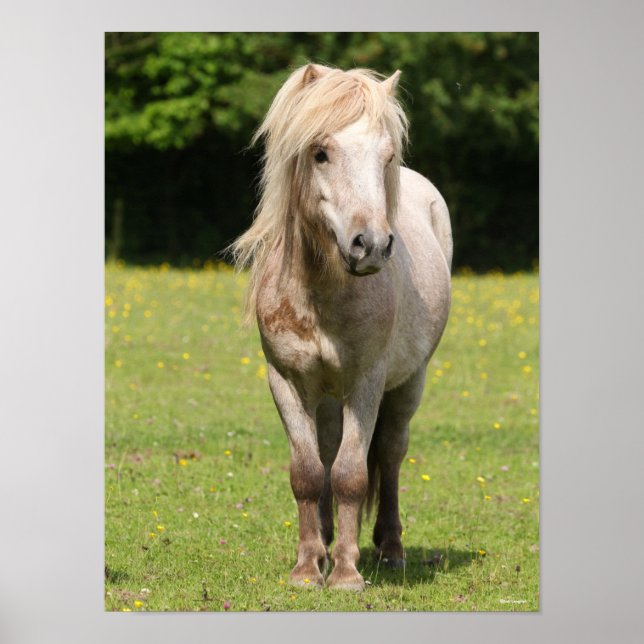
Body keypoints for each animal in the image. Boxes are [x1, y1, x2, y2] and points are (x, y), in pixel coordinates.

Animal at [232, 63, 452, 591]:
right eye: (321, 153)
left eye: (387, 155)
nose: (369, 245)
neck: (320, 293)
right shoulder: (286, 382)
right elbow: (308, 472)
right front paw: (307, 567)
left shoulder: (366, 383)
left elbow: (353, 472)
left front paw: (348, 573)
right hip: (327, 395)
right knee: (327, 452)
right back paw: (328, 540)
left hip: (408, 383)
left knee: (389, 455)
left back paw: (390, 550)